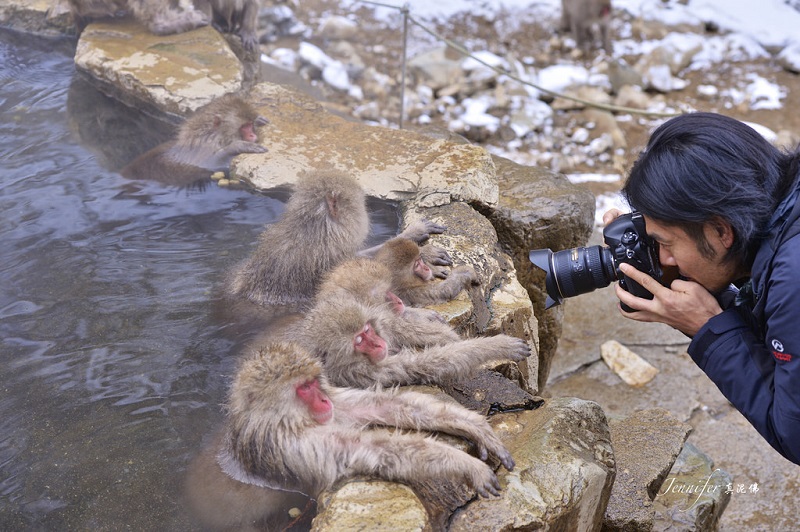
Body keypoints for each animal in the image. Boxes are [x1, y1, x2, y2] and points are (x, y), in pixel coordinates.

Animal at [120, 93, 268, 187]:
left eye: (250, 124)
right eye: (244, 127)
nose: (253, 135)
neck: (214, 135)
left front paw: (259, 120)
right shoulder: (206, 148)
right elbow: (211, 163)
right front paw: (239, 146)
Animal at [214, 342, 512, 500]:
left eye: (314, 382)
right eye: (304, 388)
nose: (324, 400)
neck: (286, 419)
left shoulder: (336, 407)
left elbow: (385, 405)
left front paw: (476, 427)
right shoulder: (293, 443)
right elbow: (376, 450)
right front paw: (468, 466)